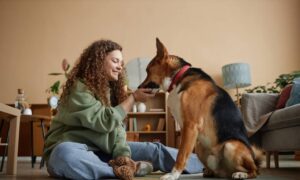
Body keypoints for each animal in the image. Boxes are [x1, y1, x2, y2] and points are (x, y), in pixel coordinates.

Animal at [138, 38, 262, 180]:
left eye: (147, 70)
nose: (138, 88)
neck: (178, 77)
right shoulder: (185, 128)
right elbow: (182, 151)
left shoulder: (190, 125)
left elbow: (181, 154)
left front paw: (173, 175)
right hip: (199, 146)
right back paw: (209, 172)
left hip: (230, 145)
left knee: (255, 170)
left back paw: (241, 174)